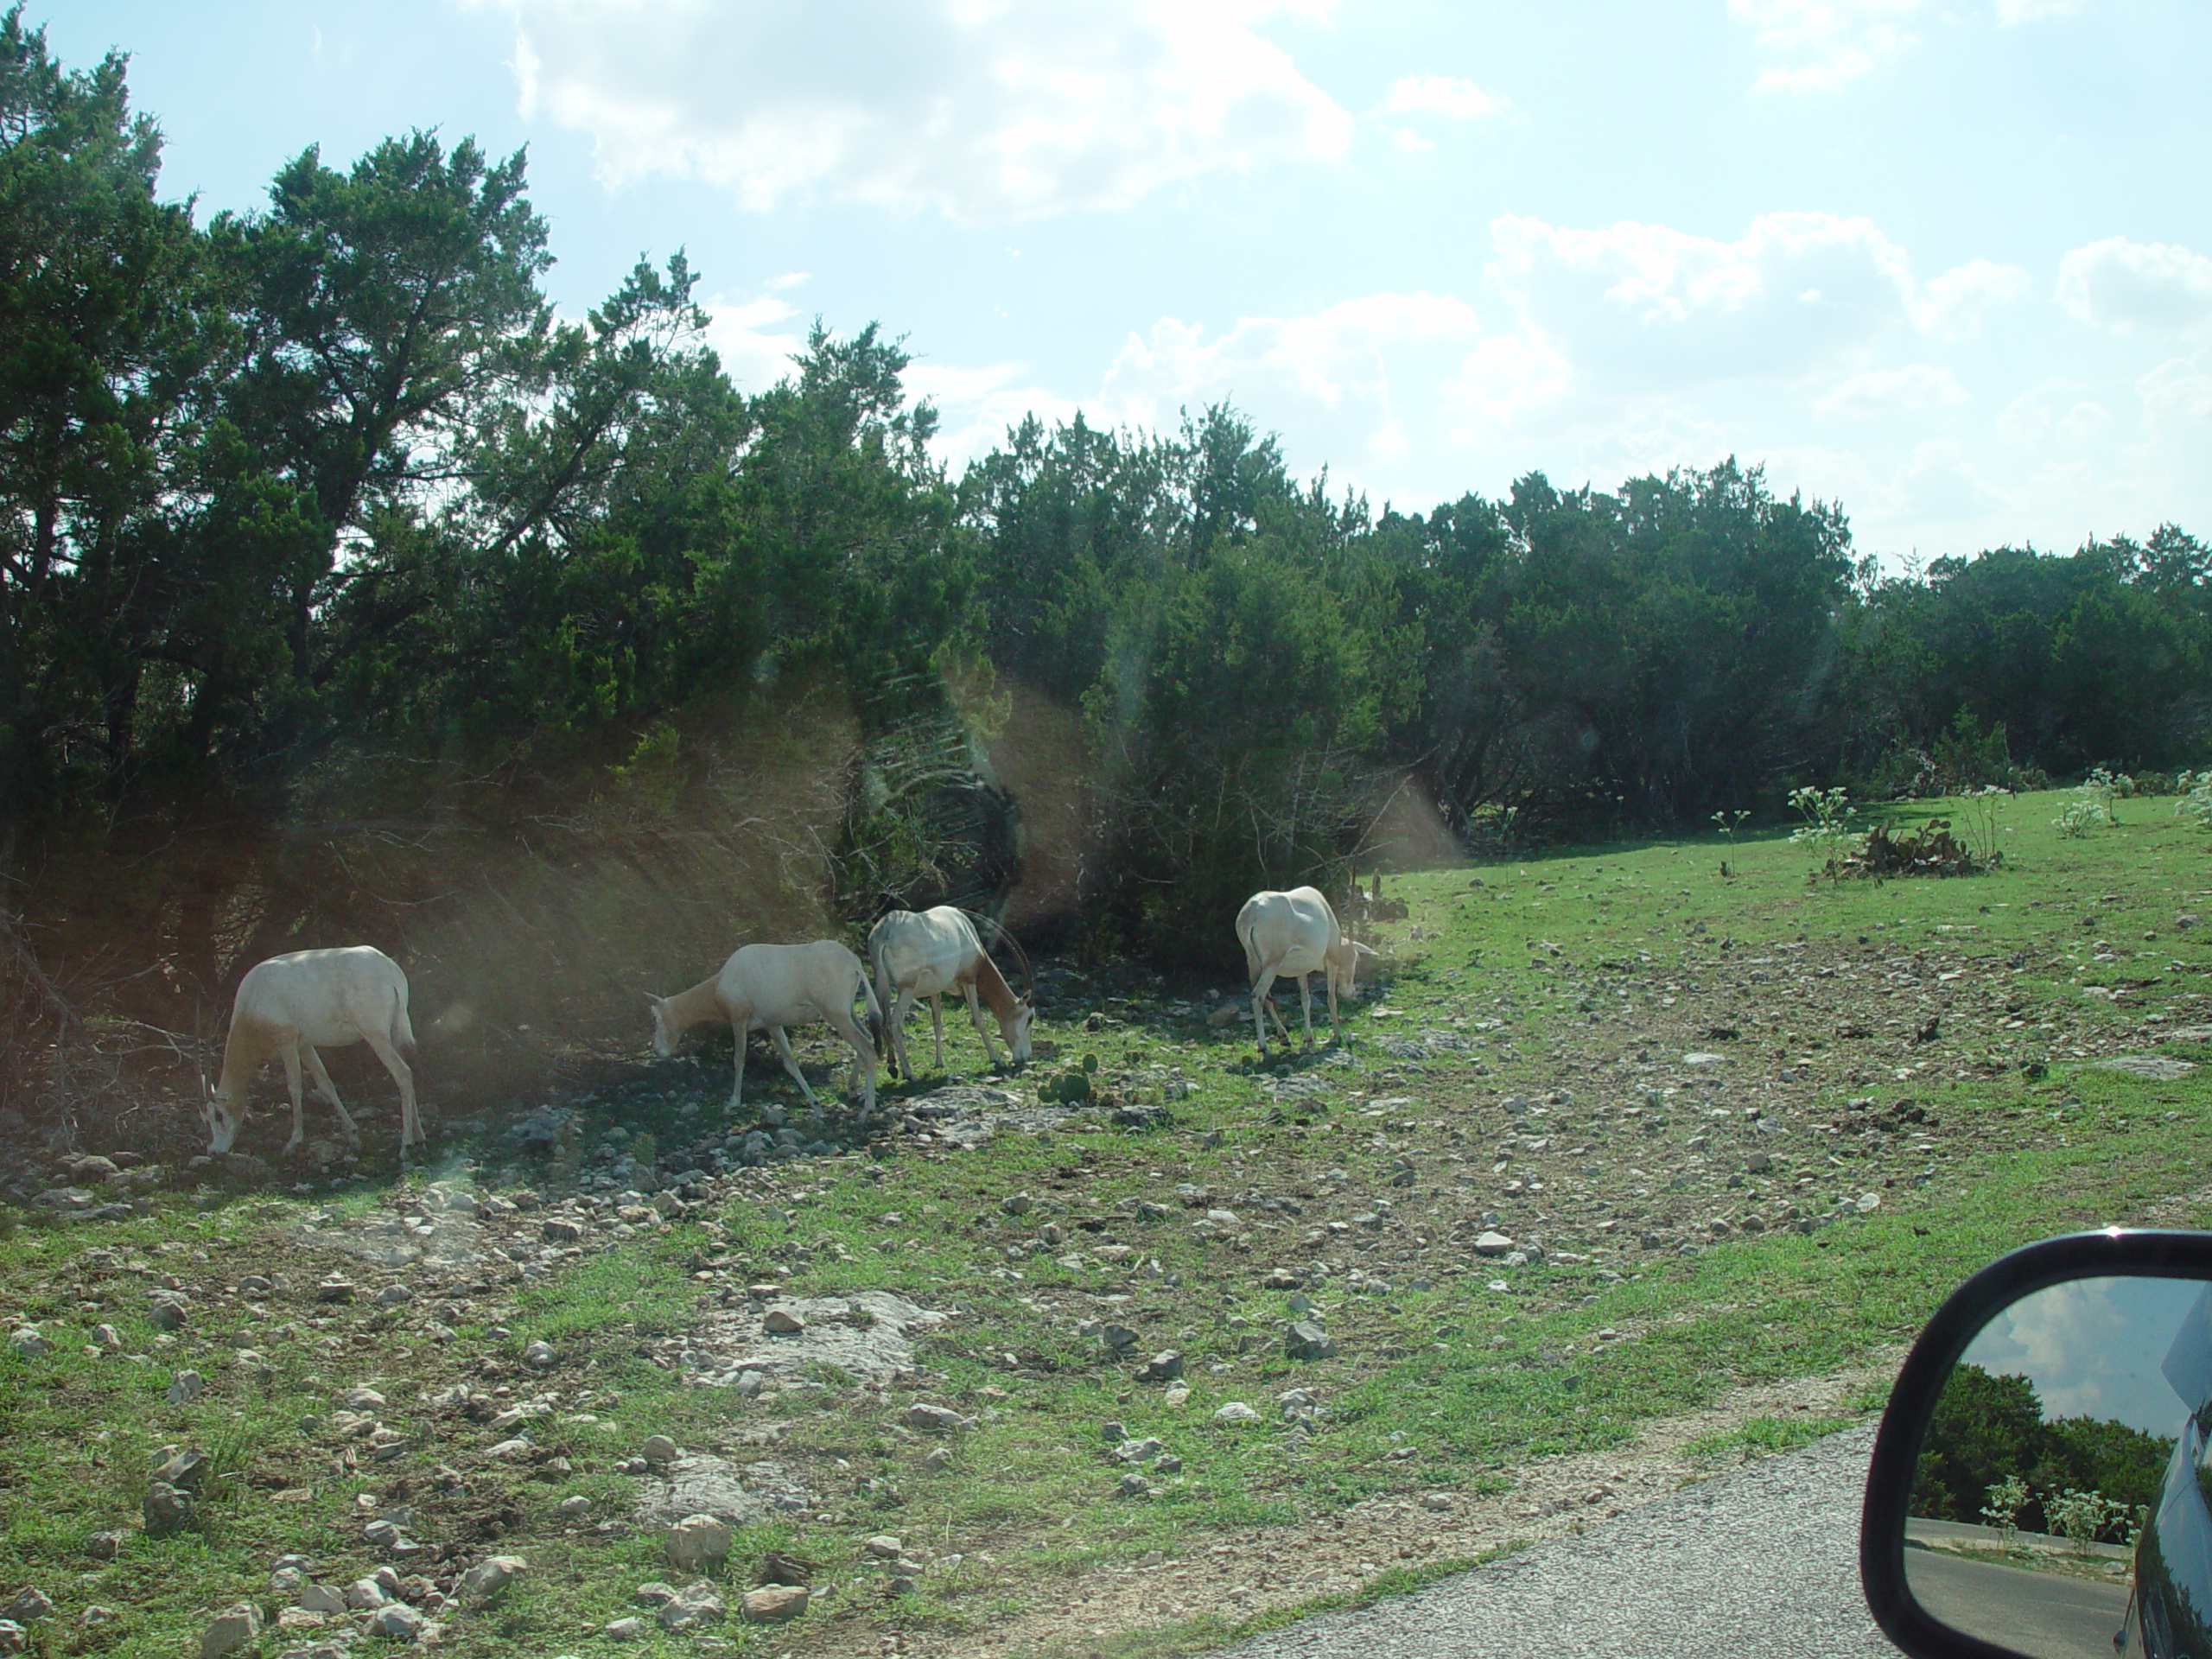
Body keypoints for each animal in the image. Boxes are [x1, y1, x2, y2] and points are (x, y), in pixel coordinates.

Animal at [206, 942, 420, 1159]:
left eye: (218, 1115)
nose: (214, 1150)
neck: (252, 1001)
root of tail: (392, 974)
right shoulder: (304, 1045)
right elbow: (325, 1084)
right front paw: (353, 1136)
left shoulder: (287, 1041)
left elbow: (294, 1087)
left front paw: (293, 1142)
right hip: (394, 1033)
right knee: (409, 1071)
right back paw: (419, 1137)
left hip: (376, 1035)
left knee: (402, 1073)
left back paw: (405, 1145)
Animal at [645, 946, 885, 1119]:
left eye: (656, 1018)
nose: (658, 1050)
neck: (721, 983)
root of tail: (853, 962)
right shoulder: (773, 1025)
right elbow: (790, 1063)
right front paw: (817, 1107)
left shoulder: (739, 1020)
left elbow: (739, 1059)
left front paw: (732, 1103)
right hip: (848, 1012)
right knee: (867, 1038)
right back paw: (853, 1090)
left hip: (835, 1013)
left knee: (866, 1046)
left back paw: (867, 1109)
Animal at [862, 902, 1035, 1084]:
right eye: (1030, 1018)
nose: (1026, 1057)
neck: (966, 931)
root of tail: (885, 930)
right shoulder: (969, 980)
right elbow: (978, 1019)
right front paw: (996, 1059)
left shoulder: (935, 989)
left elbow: (937, 1023)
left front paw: (939, 1062)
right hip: (907, 987)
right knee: (895, 1022)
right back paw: (909, 1073)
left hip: (882, 985)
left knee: (883, 1019)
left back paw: (892, 1067)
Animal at [1238, 889, 1371, 1057]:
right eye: (1355, 958)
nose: (1351, 992)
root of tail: (1252, 911)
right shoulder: (1332, 961)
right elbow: (1331, 998)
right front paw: (1337, 1035)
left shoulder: (1300, 971)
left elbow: (1305, 1000)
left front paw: (1309, 1039)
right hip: (1271, 965)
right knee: (1258, 996)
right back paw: (1264, 1047)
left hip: (1255, 964)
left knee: (1266, 998)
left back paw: (1284, 1037)